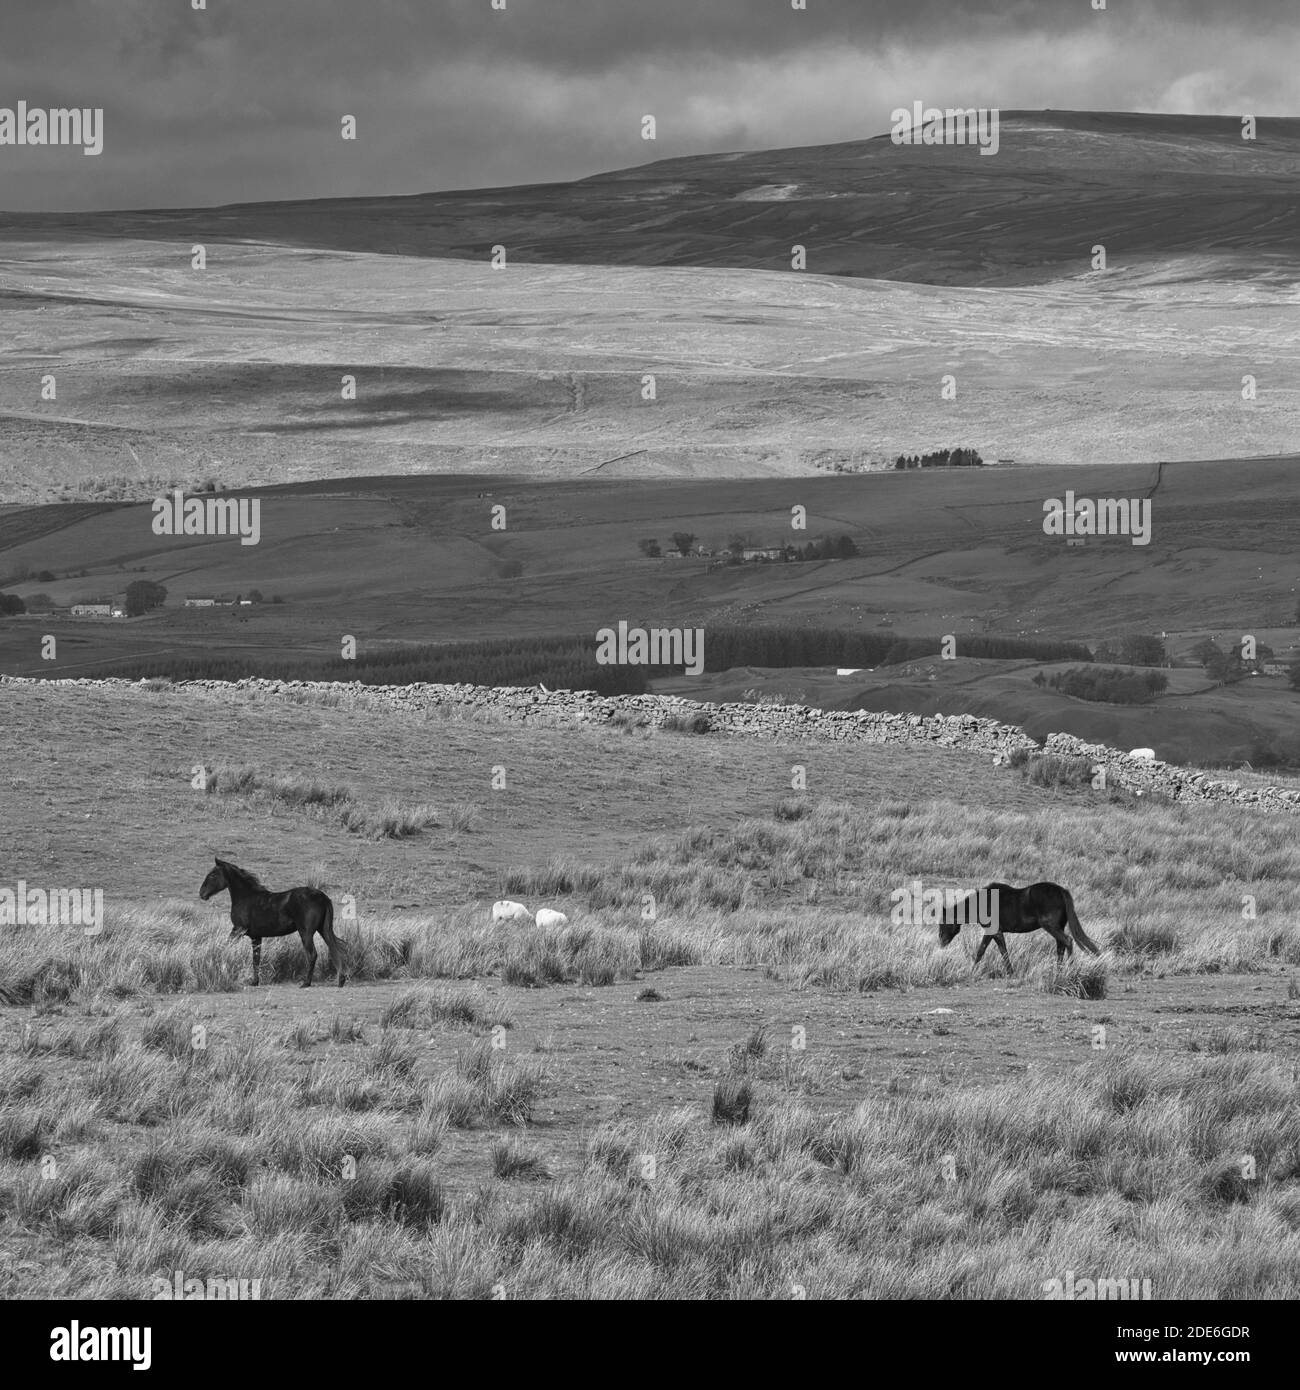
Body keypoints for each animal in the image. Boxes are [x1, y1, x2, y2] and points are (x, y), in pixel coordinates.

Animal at [199, 857, 346, 988]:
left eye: (213, 875)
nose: (201, 893)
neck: (246, 898)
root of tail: (323, 897)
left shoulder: (238, 930)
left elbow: (226, 947)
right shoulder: (256, 937)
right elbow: (256, 959)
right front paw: (254, 982)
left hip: (306, 933)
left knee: (312, 955)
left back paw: (306, 983)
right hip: (324, 929)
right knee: (334, 949)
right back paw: (340, 981)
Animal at [938, 881, 1100, 970]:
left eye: (943, 923)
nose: (941, 942)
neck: (983, 902)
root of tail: (1061, 891)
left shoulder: (993, 931)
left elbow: (986, 951)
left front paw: (972, 970)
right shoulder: (995, 933)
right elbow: (995, 950)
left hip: (1051, 927)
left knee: (1068, 942)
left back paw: (1070, 970)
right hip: (1057, 928)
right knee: (1061, 947)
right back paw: (1058, 972)